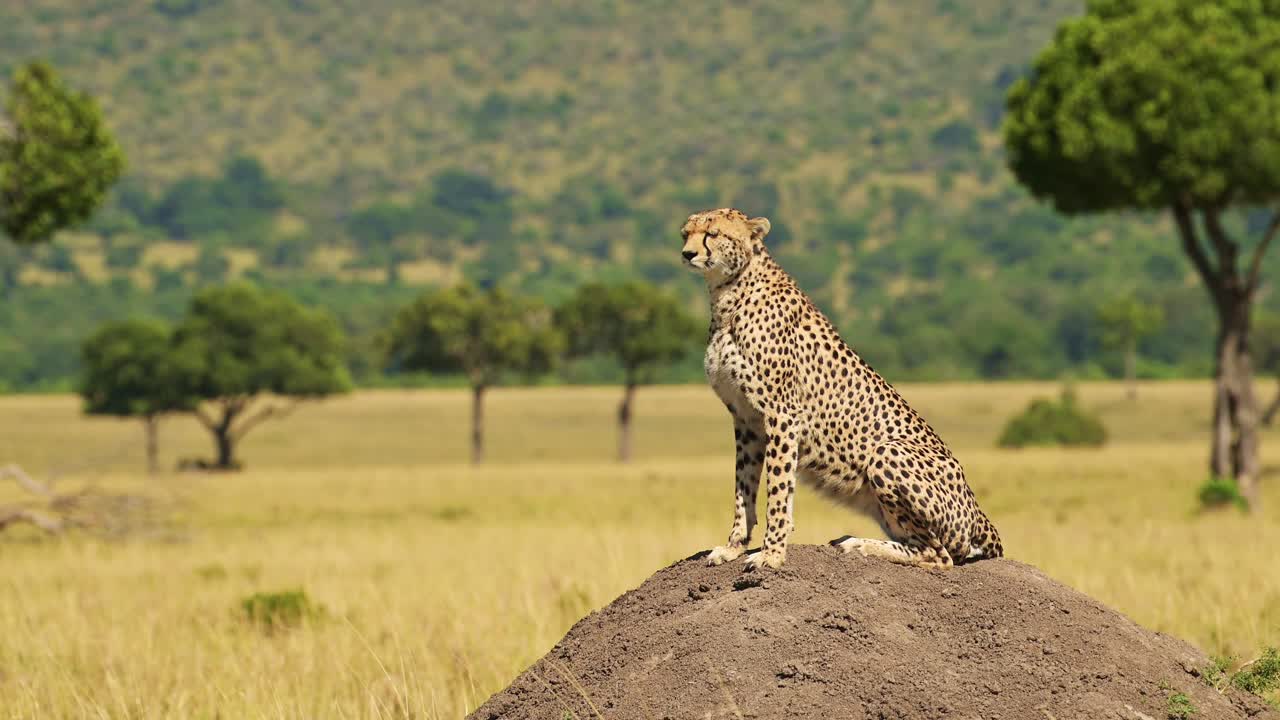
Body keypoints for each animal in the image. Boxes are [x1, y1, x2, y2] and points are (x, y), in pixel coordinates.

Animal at [680, 207, 1003, 571]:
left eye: (713, 234)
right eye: (686, 233)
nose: (687, 253)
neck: (728, 294)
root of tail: (978, 512)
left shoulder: (782, 415)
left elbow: (778, 491)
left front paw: (772, 554)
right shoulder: (746, 421)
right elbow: (743, 488)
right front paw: (733, 547)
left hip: (887, 452)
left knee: (939, 555)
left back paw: (859, 545)